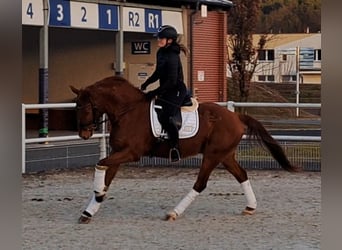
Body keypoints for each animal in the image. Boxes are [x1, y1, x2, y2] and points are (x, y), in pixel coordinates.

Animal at [70, 75, 300, 224]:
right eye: (76, 107)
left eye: (84, 107)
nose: (84, 134)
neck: (128, 111)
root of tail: (236, 116)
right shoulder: (118, 153)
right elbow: (106, 175)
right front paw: (91, 209)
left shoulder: (131, 153)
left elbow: (100, 164)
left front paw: (98, 193)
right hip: (225, 155)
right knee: (241, 174)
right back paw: (250, 207)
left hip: (212, 155)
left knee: (200, 184)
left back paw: (174, 213)